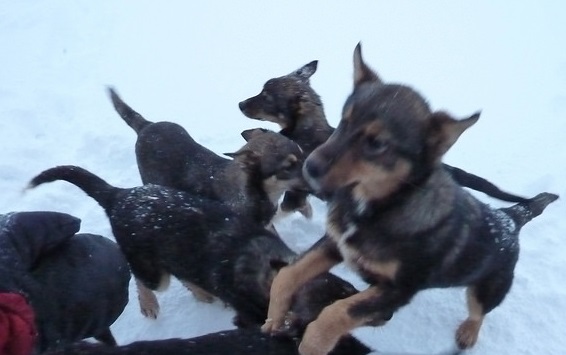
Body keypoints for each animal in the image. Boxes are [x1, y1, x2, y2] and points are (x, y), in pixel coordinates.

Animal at [24, 165, 362, 336]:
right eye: (333, 305)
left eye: (349, 290)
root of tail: (120, 196)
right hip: (152, 270)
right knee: (143, 279)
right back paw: (150, 303)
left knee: (181, 272)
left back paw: (200, 291)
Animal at [264, 44, 560, 355]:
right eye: (344, 120)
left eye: (377, 143)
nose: (308, 167)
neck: (377, 206)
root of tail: (510, 218)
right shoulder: (335, 244)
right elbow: (287, 276)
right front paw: (275, 317)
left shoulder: (398, 290)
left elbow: (334, 314)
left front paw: (311, 343)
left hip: (490, 286)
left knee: (479, 311)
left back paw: (468, 333)